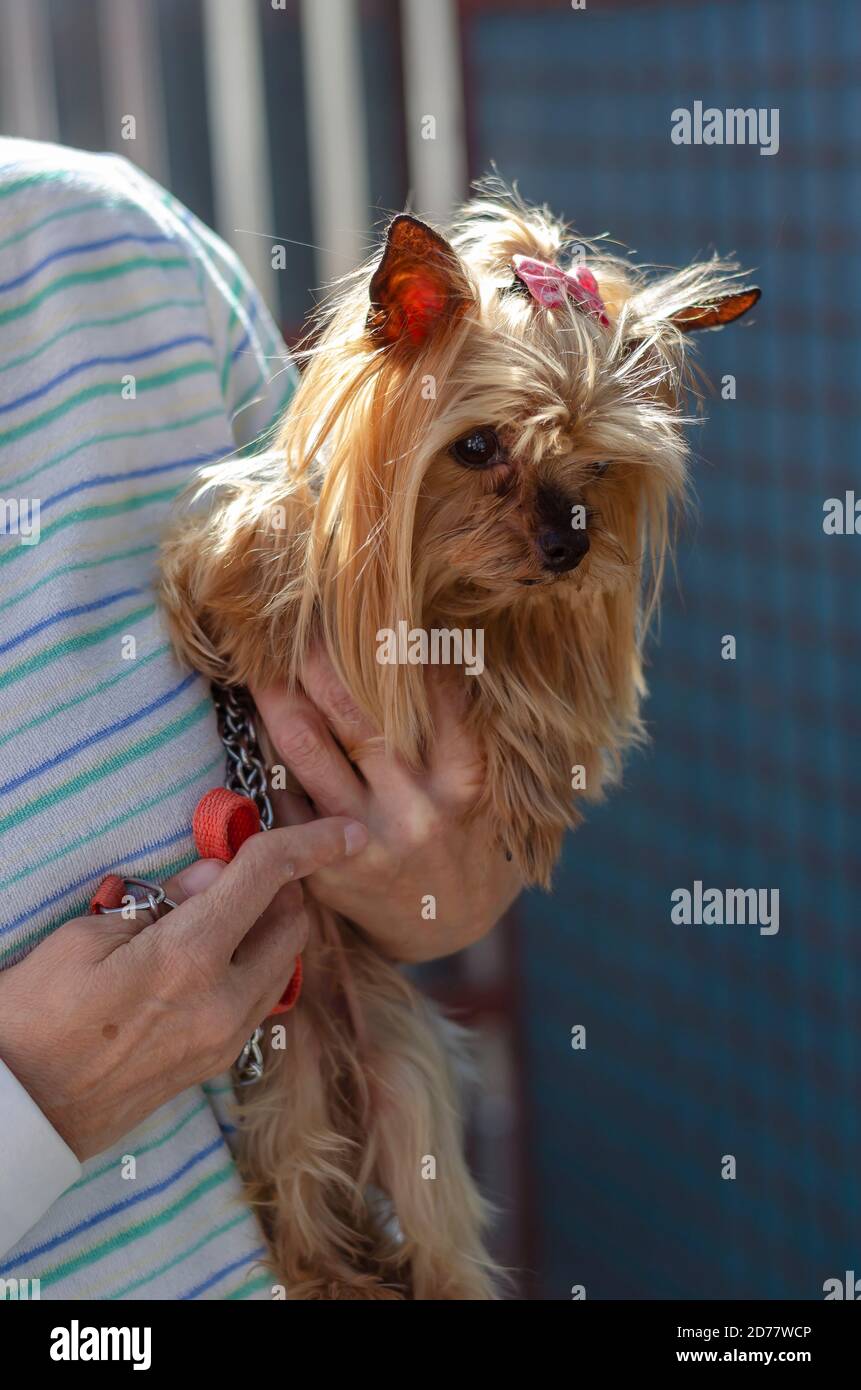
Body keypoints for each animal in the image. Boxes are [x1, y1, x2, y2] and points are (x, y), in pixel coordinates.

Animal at [158, 179, 756, 1295]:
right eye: (478, 446)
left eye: (598, 465)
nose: (567, 546)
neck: (443, 589)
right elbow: (243, 546)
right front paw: (264, 597)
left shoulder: (525, 625)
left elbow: (532, 683)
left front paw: (530, 781)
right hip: (286, 1074)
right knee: (300, 1194)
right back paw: (335, 1270)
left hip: (407, 1077)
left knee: (431, 1228)